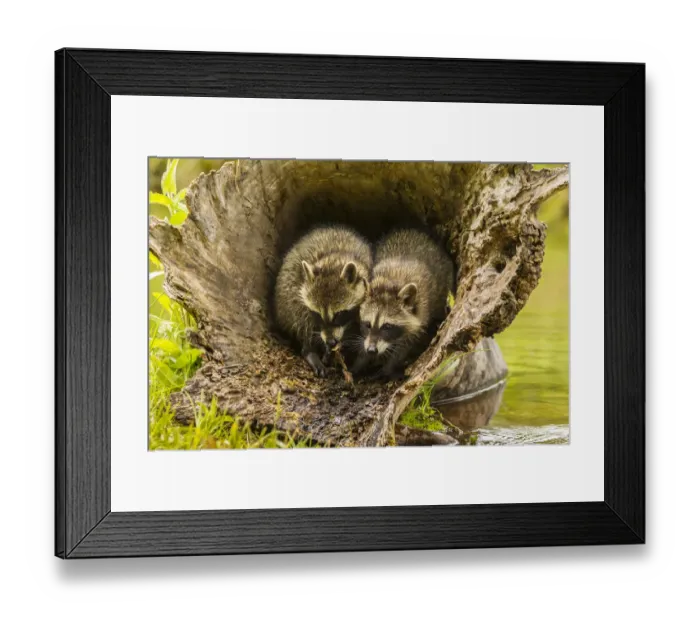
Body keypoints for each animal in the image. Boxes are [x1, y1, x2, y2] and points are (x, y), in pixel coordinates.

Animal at [274, 226, 372, 377]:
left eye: (339, 314)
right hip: (285, 298)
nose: (331, 342)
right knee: (299, 314)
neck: (334, 260)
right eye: (318, 314)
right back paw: (309, 350)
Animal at [355, 229, 454, 380]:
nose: (371, 350)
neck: (389, 283)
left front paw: (389, 368)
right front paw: (360, 361)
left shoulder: (420, 313)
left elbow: (406, 344)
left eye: (387, 326)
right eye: (367, 324)